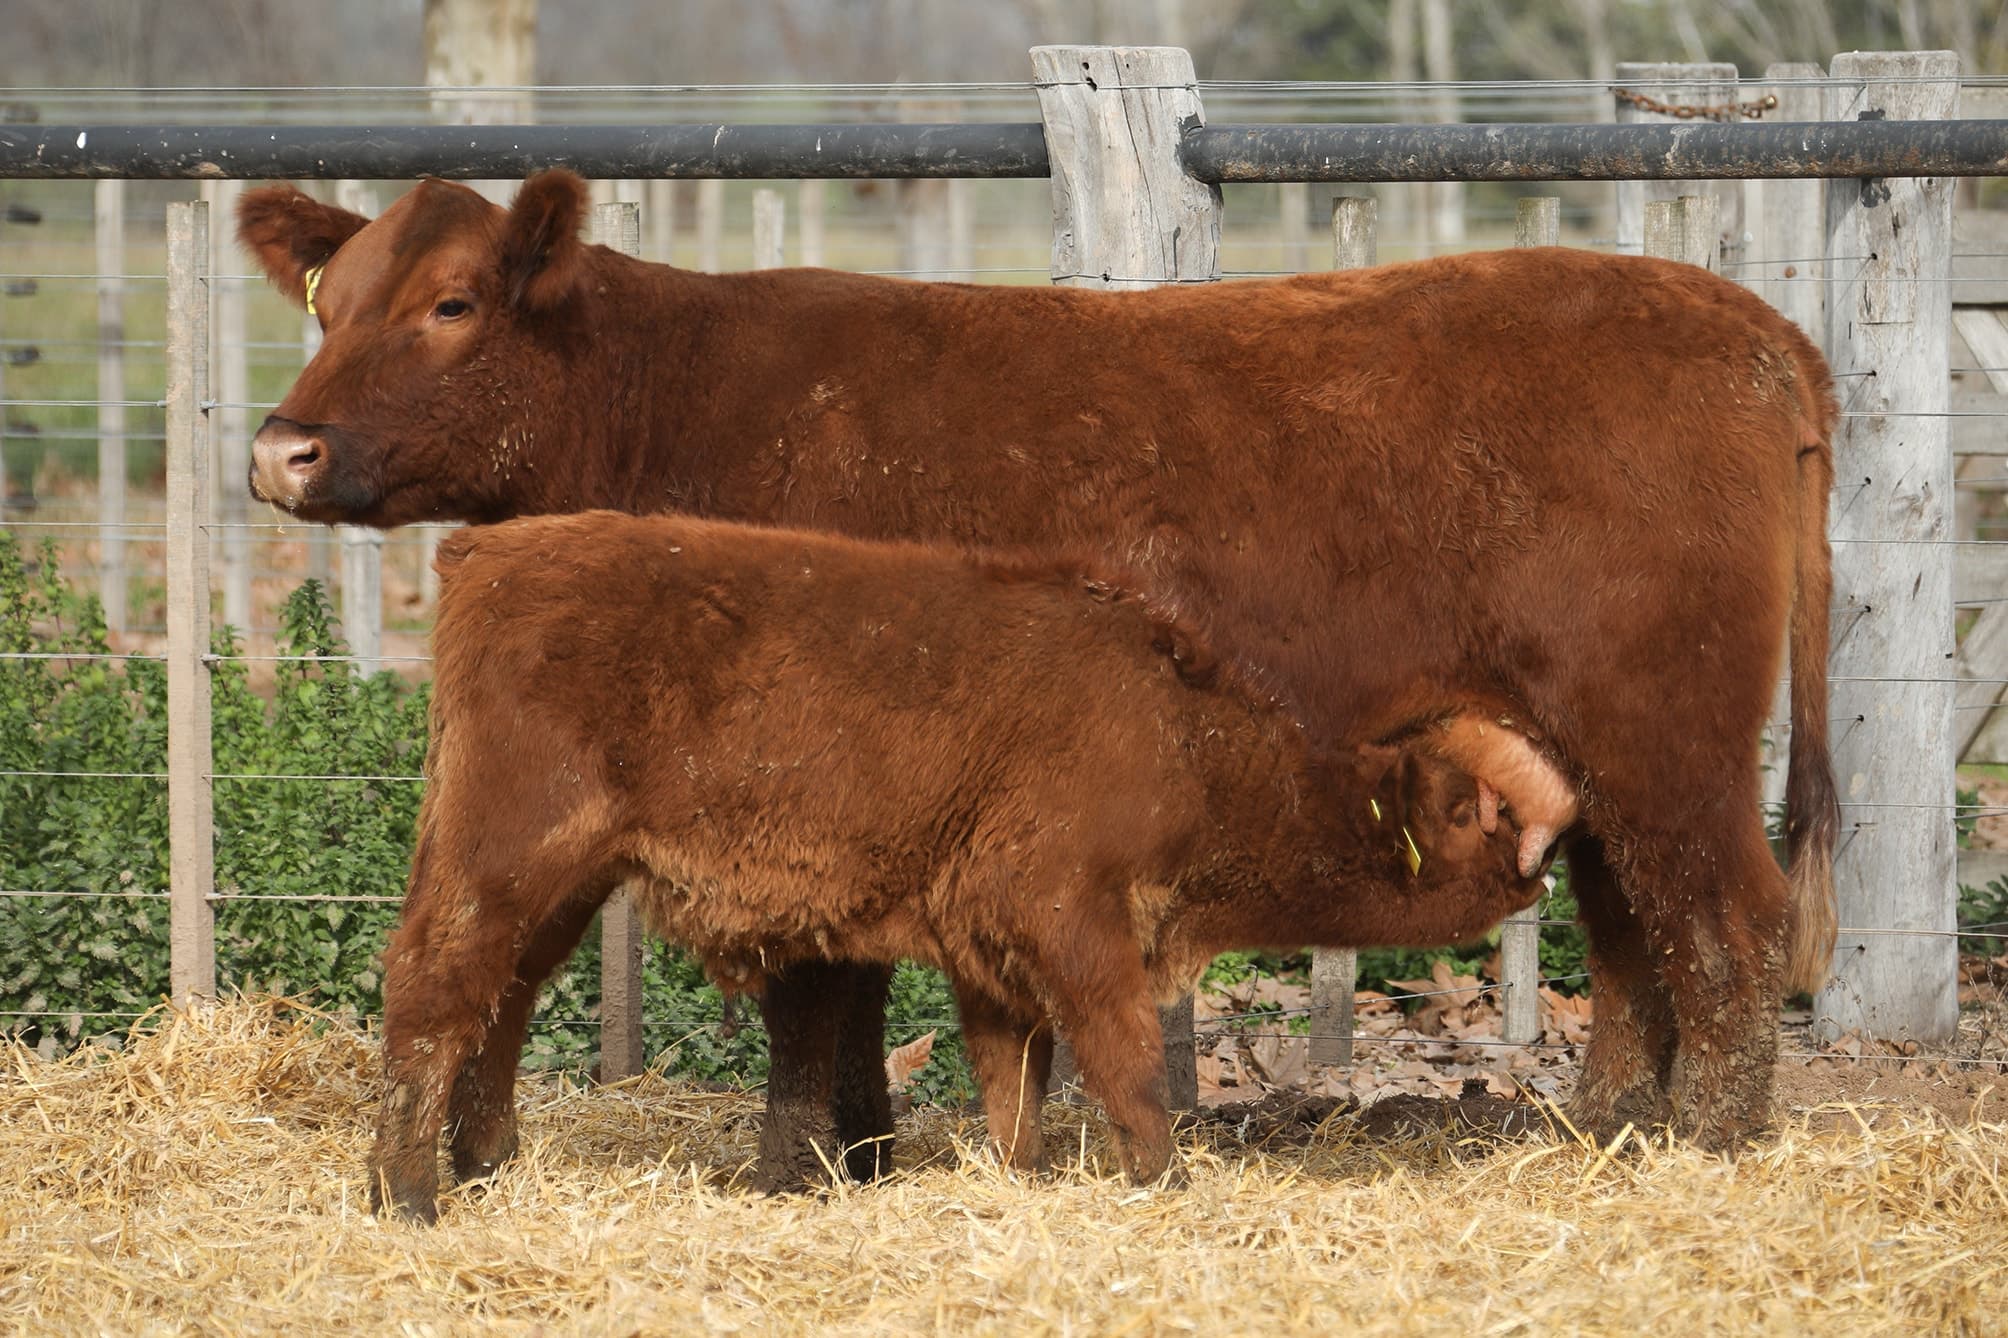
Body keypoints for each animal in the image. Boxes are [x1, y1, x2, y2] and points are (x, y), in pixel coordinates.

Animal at [369, 509, 1554, 1219]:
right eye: (1471, 808)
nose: (1541, 869)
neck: (1177, 730)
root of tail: (489, 551)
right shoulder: (1074, 924)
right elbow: (1125, 1062)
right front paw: (1163, 1179)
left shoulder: (992, 952)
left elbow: (1010, 1086)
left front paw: (1023, 1184)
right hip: (507, 854)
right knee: (434, 988)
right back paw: (410, 1192)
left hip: (561, 884)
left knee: (503, 997)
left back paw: (487, 1165)